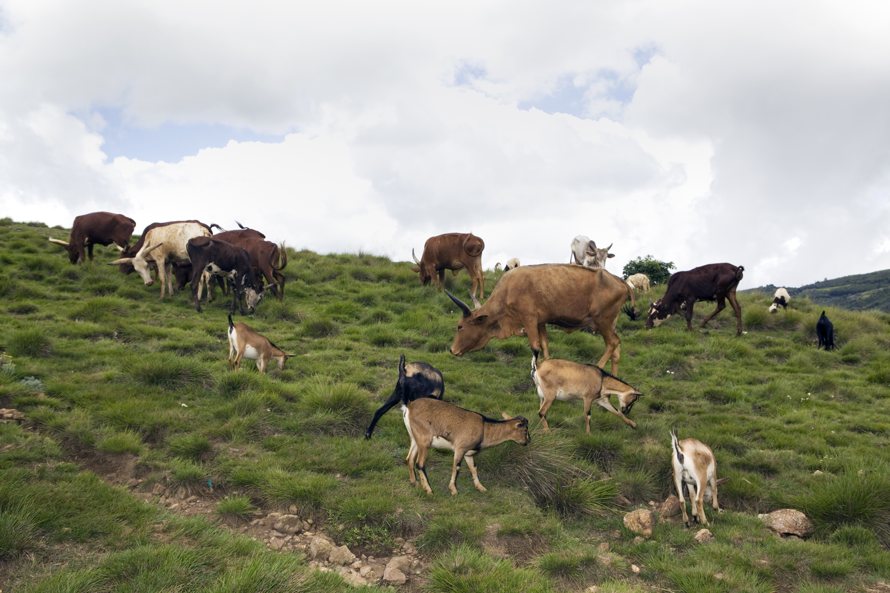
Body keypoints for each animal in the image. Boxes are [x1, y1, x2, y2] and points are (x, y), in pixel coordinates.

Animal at [399, 357, 529, 495]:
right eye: (525, 429)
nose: (527, 441)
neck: (484, 428)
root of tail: (409, 406)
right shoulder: (460, 448)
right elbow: (456, 467)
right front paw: (454, 490)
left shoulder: (469, 453)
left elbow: (474, 468)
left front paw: (481, 487)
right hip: (425, 441)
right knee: (420, 463)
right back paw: (429, 490)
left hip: (415, 438)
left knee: (409, 459)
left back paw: (414, 483)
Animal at [447, 264, 637, 376]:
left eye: (460, 326)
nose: (452, 350)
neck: (508, 289)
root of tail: (620, 281)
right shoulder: (541, 322)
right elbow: (545, 345)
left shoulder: (529, 319)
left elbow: (535, 346)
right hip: (610, 323)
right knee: (616, 349)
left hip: (603, 321)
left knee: (612, 343)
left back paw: (598, 368)